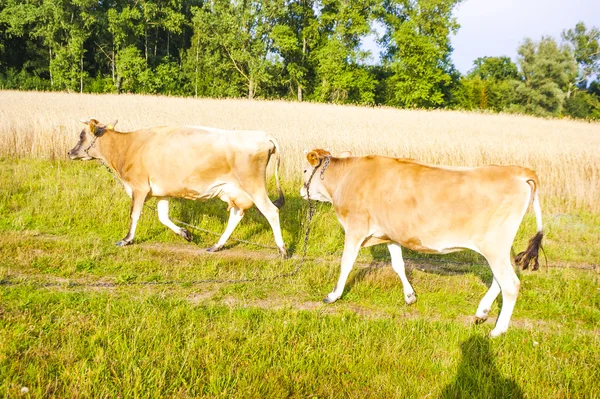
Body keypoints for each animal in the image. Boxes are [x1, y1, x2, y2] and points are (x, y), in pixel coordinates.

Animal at [68, 119, 288, 256]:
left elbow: (134, 214)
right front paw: (185, 233)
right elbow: (163, 217)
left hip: (253, 185)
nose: (70, 152)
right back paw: (216, 246)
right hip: (235, 190)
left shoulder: (138, 187)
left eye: (81, 136)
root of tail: (263, 136)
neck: (126, 147)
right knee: (236, 215)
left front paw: (127, 239)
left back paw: (282, 249)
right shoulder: (161, 192)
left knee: (271, 211)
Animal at [300, 150, 544, 338]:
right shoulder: (391, 234)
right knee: (499, 280)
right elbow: (398, 265)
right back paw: (482, 312)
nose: (301, 190)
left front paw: (333, 295)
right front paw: (409, 296)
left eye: (304, 171)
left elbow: (346, 263)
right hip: (498, 248)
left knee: (510, 284)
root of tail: (518, 171)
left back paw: (497, 330)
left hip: (494, 246)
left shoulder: (355, 228)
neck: (347, 177)